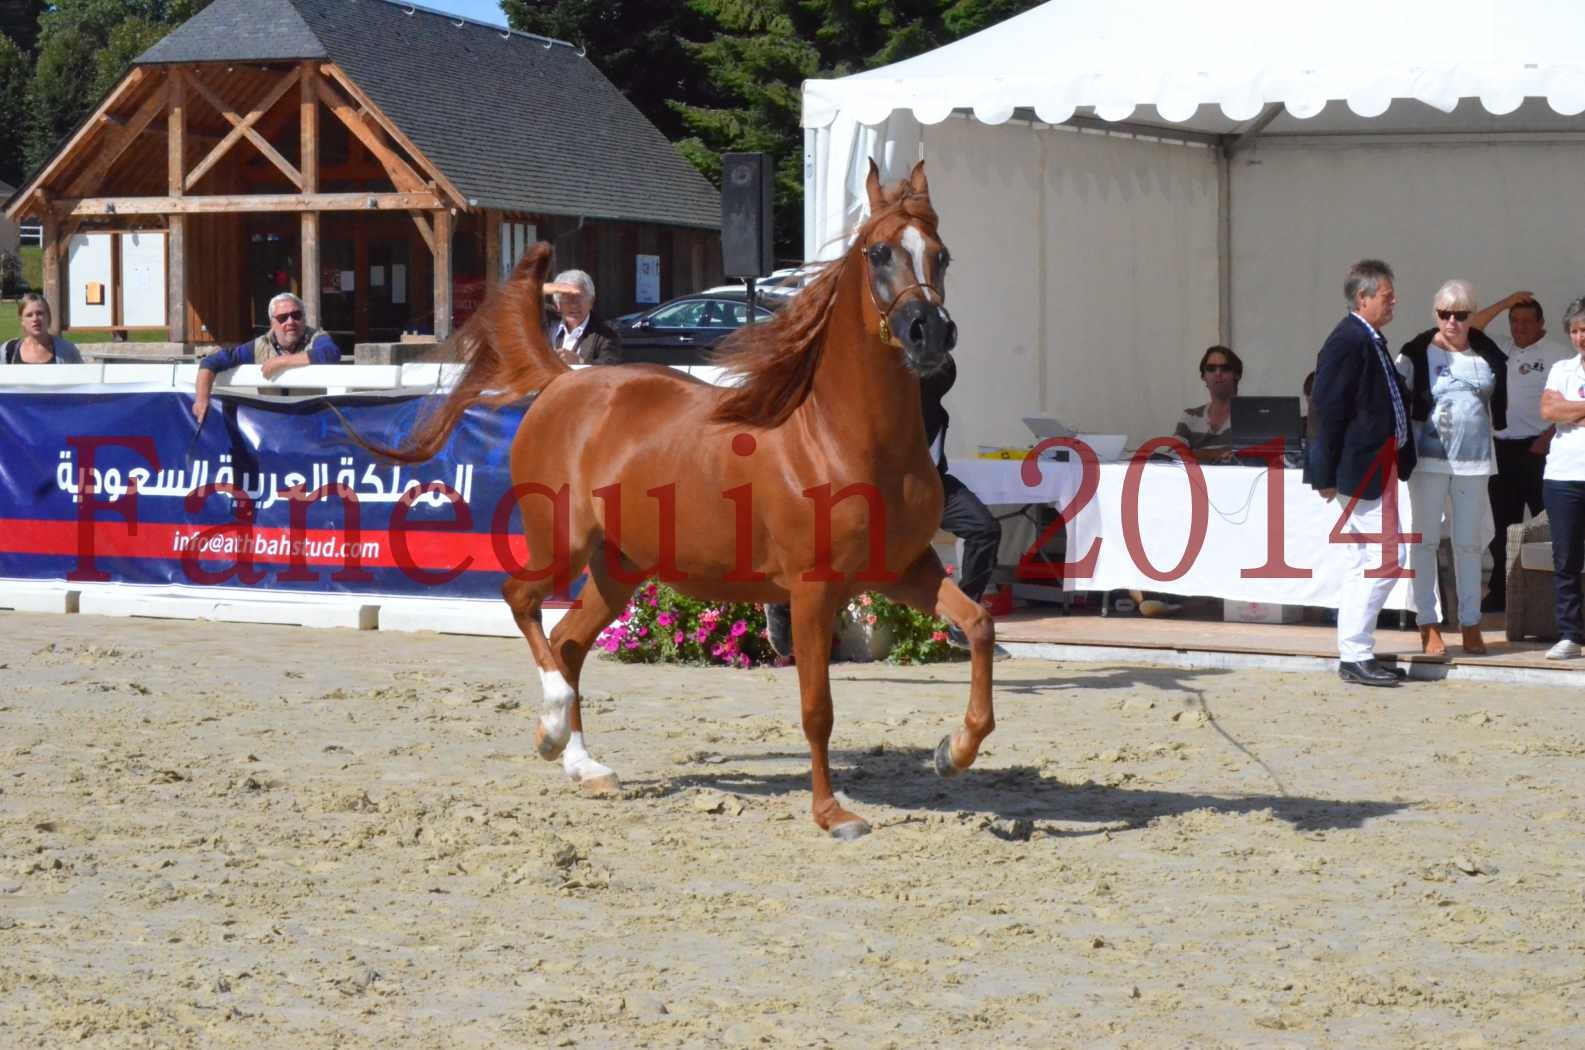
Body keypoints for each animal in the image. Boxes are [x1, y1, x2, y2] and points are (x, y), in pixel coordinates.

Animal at [372, 162, 989, 837]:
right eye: (878, 253)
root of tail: (563, 382)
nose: (931, 334)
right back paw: (552, 727)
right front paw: (832, 814)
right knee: (522, 602)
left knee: (568, 641)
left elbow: (979, 626)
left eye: (941, 254)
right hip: (561, 542)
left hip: (620, 567)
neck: (838, 437)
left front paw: (953, 752)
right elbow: (817, 707)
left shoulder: (905, 571)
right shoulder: (812, 590)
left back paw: (585, 767)